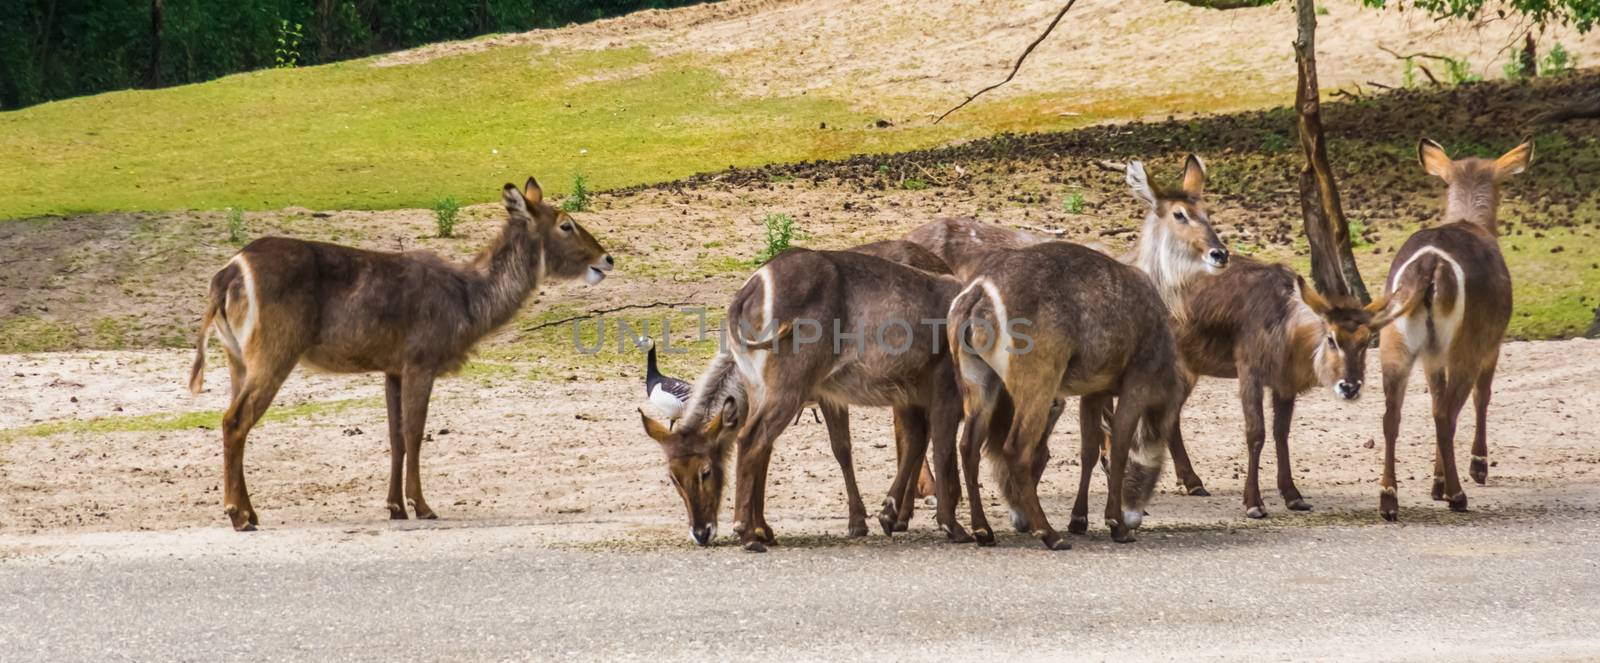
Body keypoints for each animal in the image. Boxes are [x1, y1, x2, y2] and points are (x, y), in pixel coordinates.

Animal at [188, 178, 611, 531]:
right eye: (566, 224)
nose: (607, 258)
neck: (468, 301)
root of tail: (227, 275)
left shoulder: (391, 367)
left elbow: (394, 436)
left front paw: (395, 507)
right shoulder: (420, 360)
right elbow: (415, 433)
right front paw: (422, 506)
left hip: (236, 357)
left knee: (233, 418)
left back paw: (251, 512)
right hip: (273, 351)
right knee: (234, 420)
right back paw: (238, 516)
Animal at [633, 246, 960, 547]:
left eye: (706, 471)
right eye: (672, 478)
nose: (701, 533)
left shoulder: (823, 395)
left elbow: (839, 449)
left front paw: (856, 522)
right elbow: (768, 452)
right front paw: (764, 528)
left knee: (916, 437)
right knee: (916, 438)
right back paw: (903, 514)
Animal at [940, 241, 1184, 547]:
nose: (1134, 517)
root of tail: (979, 291)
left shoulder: (1095, 391)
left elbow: (1090, 450)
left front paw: (1081, 519)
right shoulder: (1137, 383)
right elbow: (1119, 449)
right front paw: (1116, 526)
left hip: (981, 382)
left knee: (968, 446)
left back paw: (983, 531)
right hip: (1038, 383)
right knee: (1016, 448)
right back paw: (1049, 535)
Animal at [1376, 140, 1523, 522]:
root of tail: (1431, 266)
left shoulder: (1431, 357)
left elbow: (1434, 399)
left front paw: (1436, 482)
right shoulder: (1493, 341)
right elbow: (1482, 396)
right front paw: (1476, 467)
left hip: (1395, 342)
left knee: (1392, 415)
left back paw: (1388, 499)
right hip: (1465, 343)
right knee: (1448, 413)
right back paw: (1458, 494)